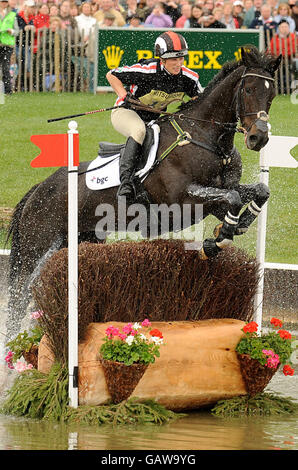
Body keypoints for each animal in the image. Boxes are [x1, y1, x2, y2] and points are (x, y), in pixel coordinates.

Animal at [5, 46, 280, 338]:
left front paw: (230, 231)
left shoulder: (216, 197)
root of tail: (39, 189)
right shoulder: (182, 200)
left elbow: (257, 192)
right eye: (248, 89)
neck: (206, 137)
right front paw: (219, 238)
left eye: (271, 94)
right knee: (19, 296)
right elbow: (234, 198)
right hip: (36, 246)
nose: (259, 138)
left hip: (81, 239)